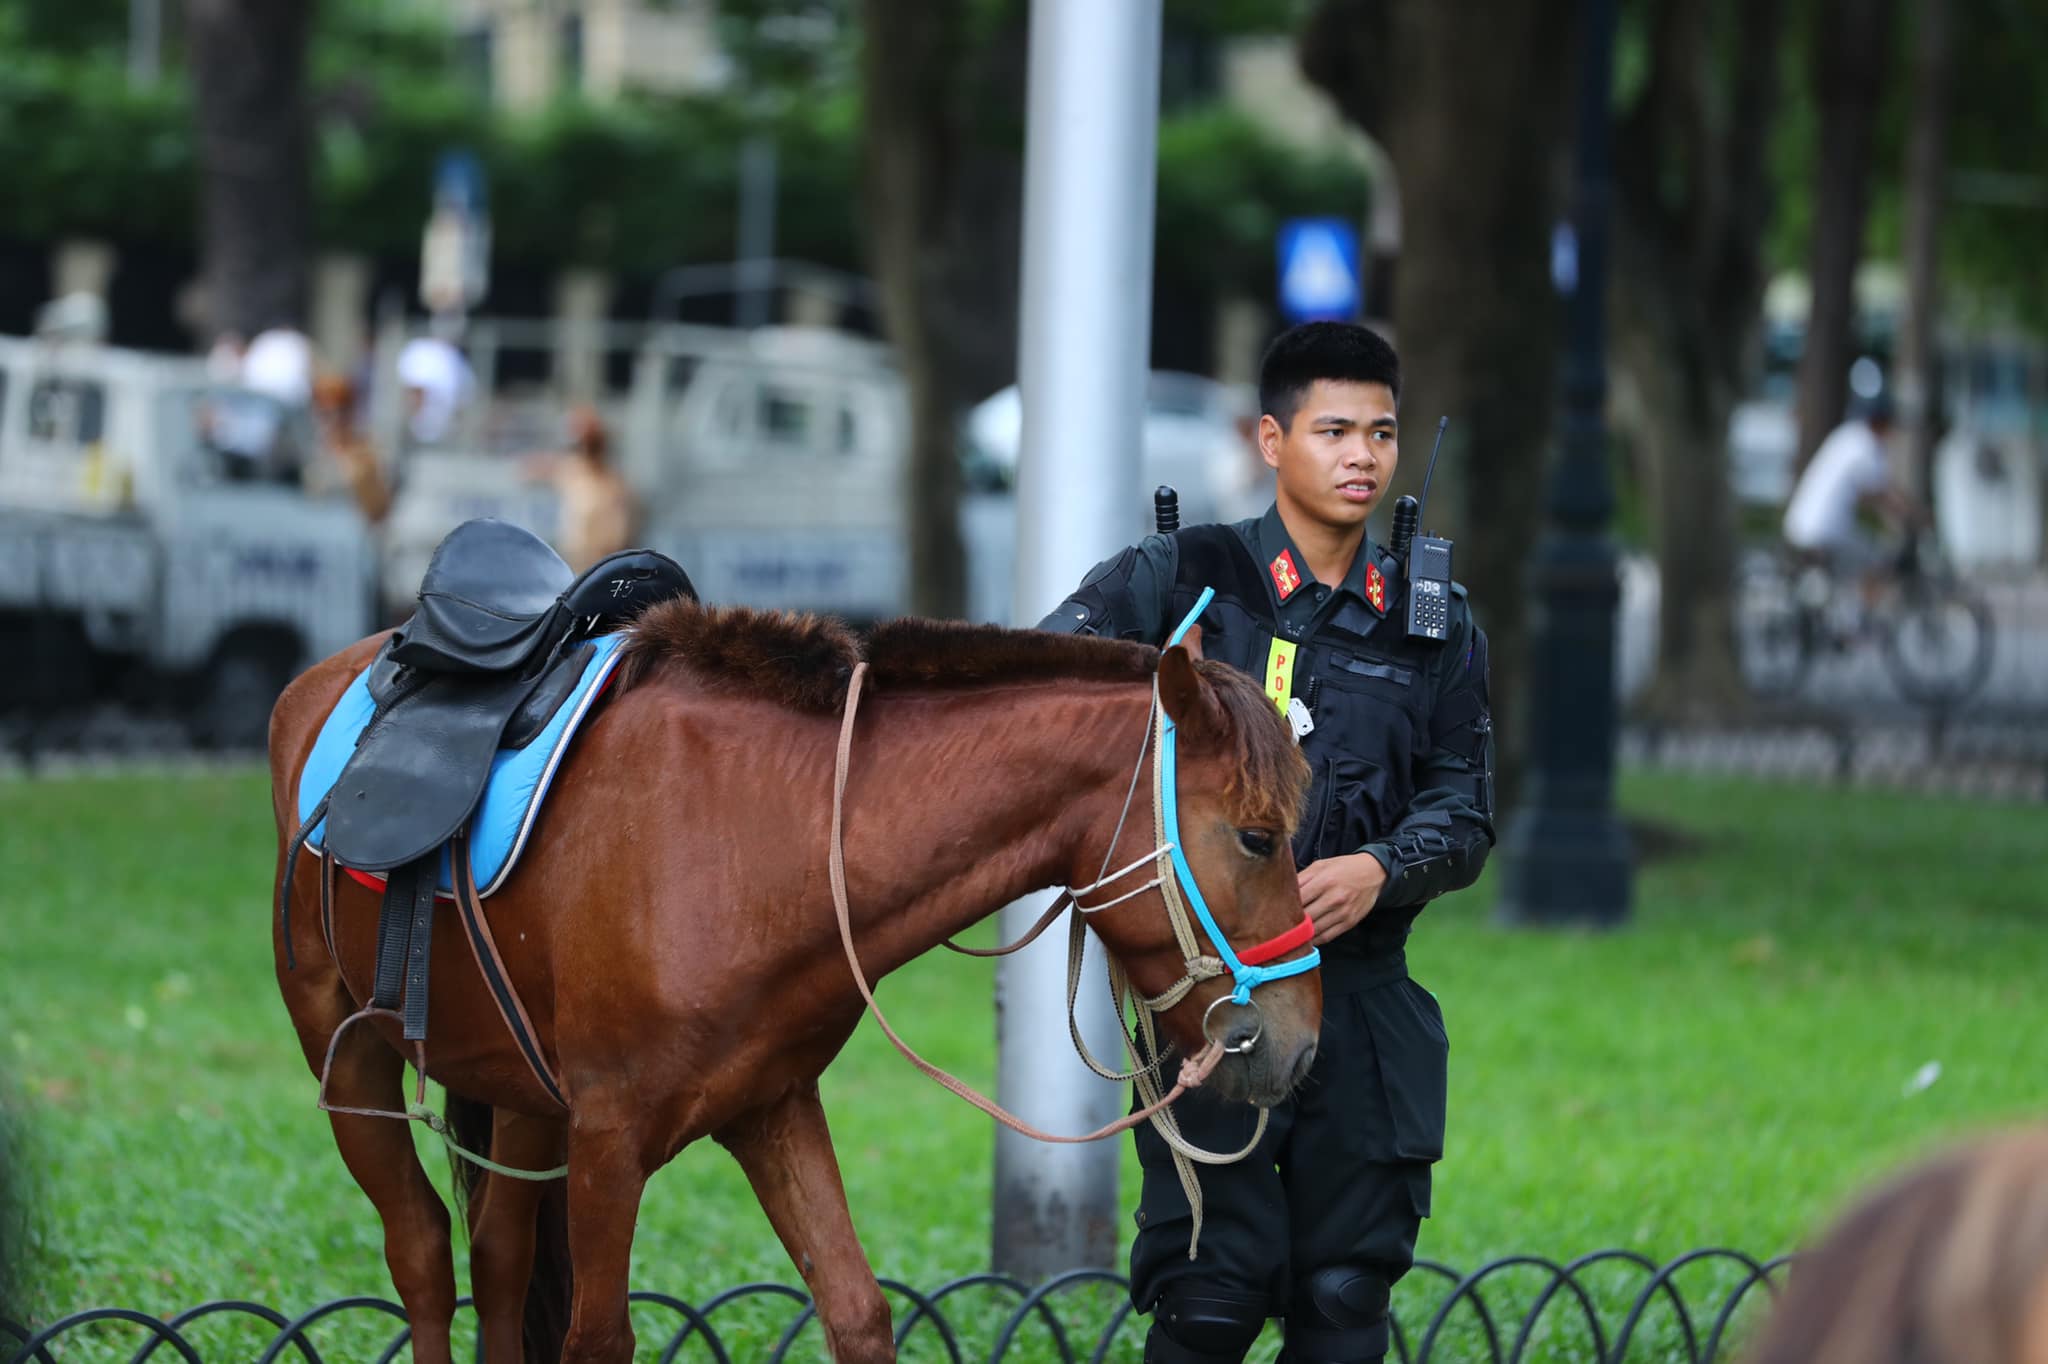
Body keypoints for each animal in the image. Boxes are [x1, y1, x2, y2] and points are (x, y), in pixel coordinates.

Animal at [268, 606, 1310, 1359]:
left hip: (518, 1088)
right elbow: (598, 1336)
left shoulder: (772, 1109)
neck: (772, 833)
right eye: (1259, 837)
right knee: (422, 1254)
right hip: (345, 1056)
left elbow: (857, 1311)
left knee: (498, 1257)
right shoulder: (608, 1140)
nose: (1299, 1045)